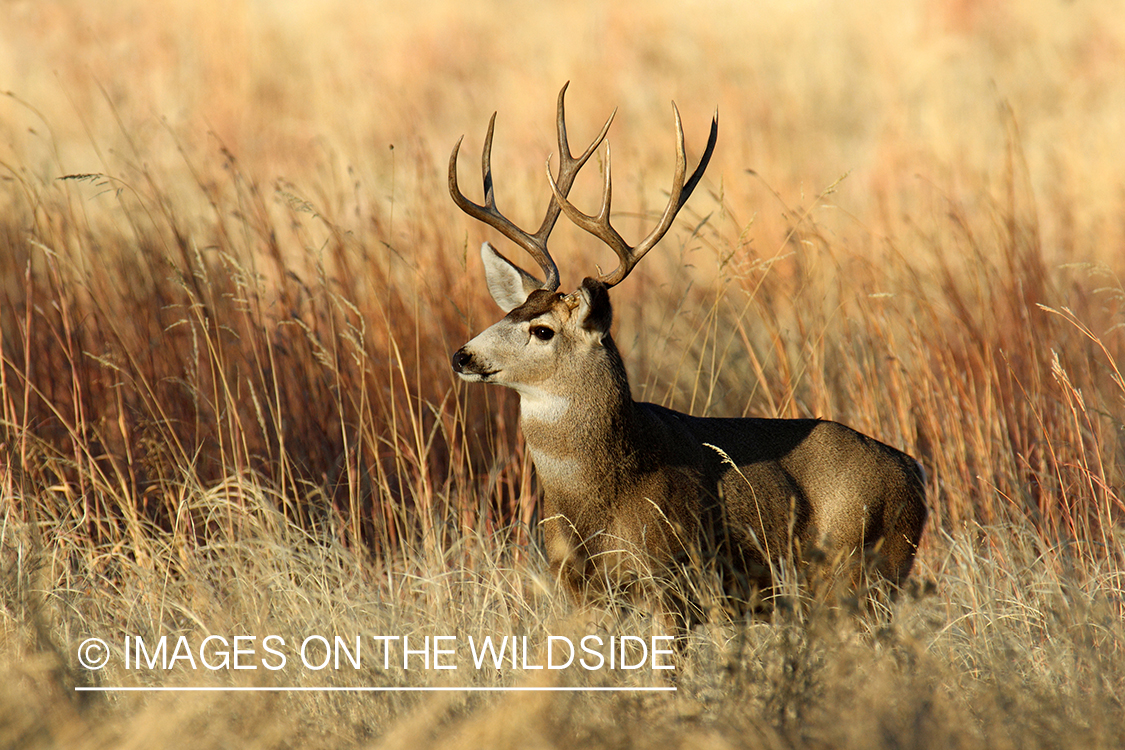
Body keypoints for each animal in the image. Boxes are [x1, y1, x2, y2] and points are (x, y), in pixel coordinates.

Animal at [447, 82, 931, 629]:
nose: (462, 356)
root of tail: (916, 472)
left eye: (542, 330)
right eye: (510, 311)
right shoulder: (576, 588)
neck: (599, 495)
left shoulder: (674, 582)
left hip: (861, 575)